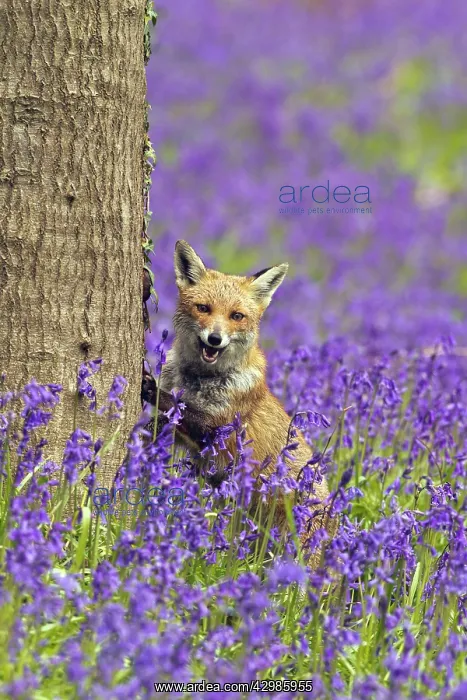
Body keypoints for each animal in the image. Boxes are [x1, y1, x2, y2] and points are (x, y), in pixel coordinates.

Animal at [150, 240, 335, 566]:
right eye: (203, 308)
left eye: (236, 316)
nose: (214, 339)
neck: (199, 381)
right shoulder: (192, 441)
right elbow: (171, 415)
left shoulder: (222, 428)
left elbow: (179, 407)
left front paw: (148, 388)